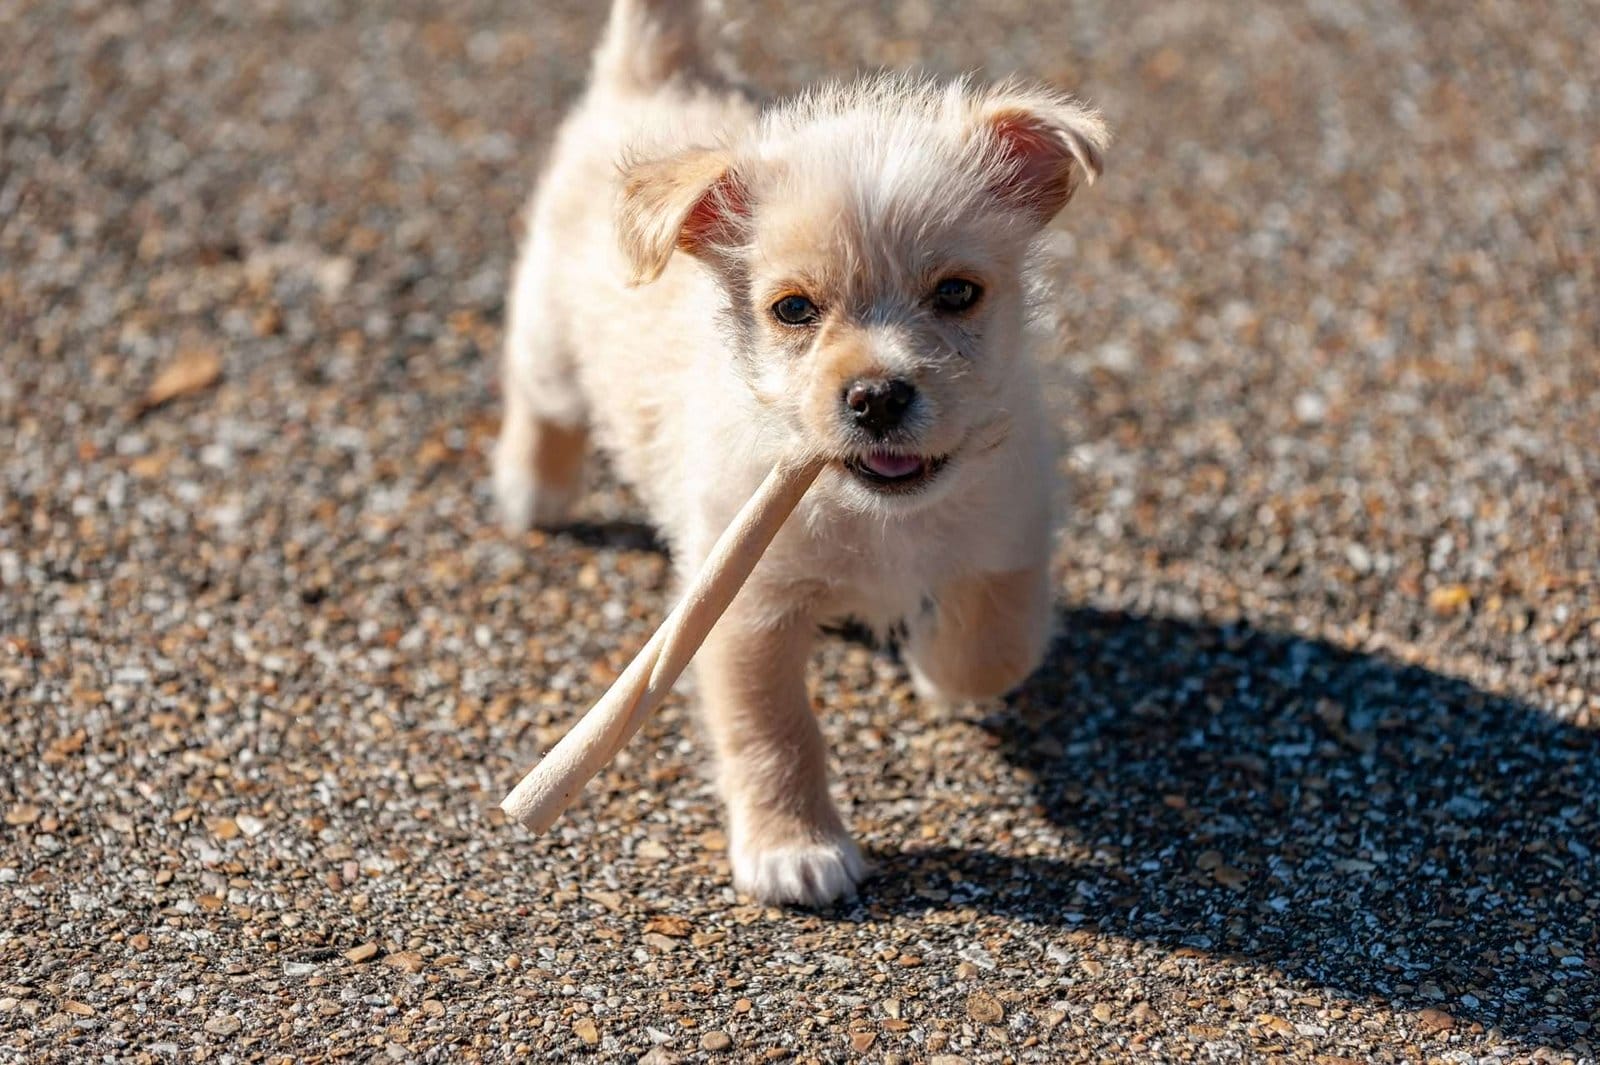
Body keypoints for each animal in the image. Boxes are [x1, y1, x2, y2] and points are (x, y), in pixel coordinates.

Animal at [492, 0, 1107, 901]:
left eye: (957, 292)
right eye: (792, 309)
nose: (877, 396)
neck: (876, 513)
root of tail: (656, 74)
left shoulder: (1010, 532)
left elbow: (998, 646)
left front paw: (933, 662)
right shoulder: (744, 605)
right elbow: (773, 728)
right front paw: (794, 847)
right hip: (551, 348)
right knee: (538, 403)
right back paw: (531, 487)